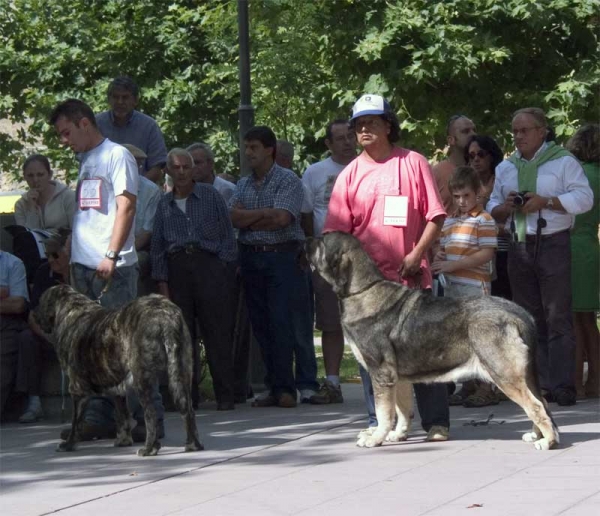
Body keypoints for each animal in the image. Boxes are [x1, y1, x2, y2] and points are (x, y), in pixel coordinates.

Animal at [35, 284, 204, 458]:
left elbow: (76, 420)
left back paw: (149, 448)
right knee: (187, 409)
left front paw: (69, 444)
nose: (33, 315)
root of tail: (164, 314)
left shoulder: (77, 390)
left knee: (151, 414)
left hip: (142, 380)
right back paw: (193, 444)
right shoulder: (117, 389)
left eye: (40, 301)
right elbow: (121, 416)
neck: (71, 309)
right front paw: (124, 440)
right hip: (180, 373)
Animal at [308, 232, 560, 450]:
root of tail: (520, 314)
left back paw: (547, 442)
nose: (306, 240)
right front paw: (397, 435)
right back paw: (537, 435)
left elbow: (384, 412)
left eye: (321, 241)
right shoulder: (397, 377)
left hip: (504, 374)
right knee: (542, 403)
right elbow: (403, 409)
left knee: (536, 405)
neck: (362, 291)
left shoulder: (381, 374)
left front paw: (376, 437)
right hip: (522, 375)